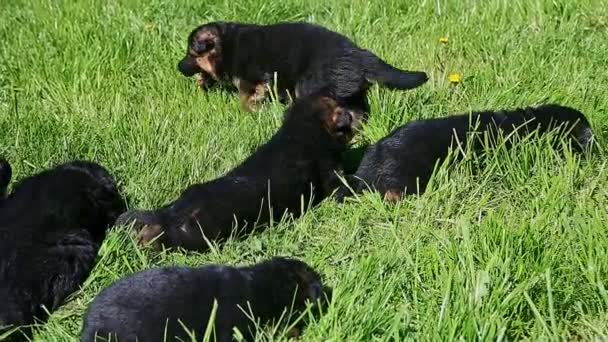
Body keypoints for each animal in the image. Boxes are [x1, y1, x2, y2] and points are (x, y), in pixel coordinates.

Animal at [116, 95, 358, 250]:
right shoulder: (329, 170)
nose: (356, 116)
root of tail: (174, 210)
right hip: (197, 234)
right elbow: (340, 185)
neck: (302, 129)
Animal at [177, 21, 428, 112]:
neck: (227, 45)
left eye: (190, 54)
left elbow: (248, 96)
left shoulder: (255, 77)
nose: (177, 66)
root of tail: (358, 53)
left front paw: (252, 110)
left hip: (310, 84)